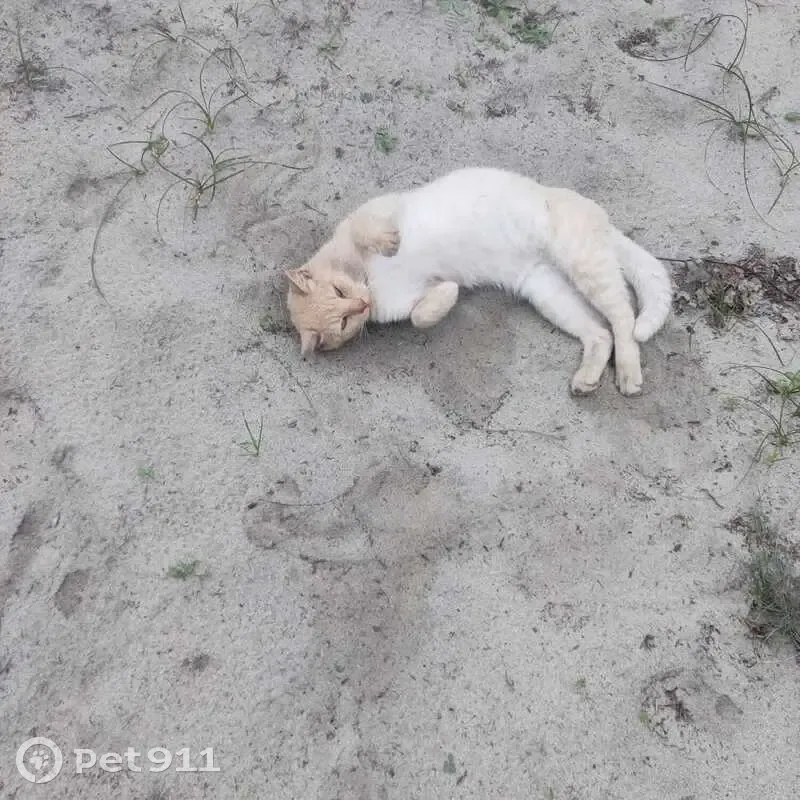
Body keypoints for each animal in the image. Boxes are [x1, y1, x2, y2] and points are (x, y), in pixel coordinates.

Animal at [284, 167, 672, 396]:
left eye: (340, 291)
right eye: (343, 322)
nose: (362, 304)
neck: (368, 281)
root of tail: (602, 218)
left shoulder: (381, 208)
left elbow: (372, 232)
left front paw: (391, 245)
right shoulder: (409, 299)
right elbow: (420, 315)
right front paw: (449, 291)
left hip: (582, 262)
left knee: (624, 317)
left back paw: (628, 374)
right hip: (547, 290)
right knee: (600, 332)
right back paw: (587, 379)